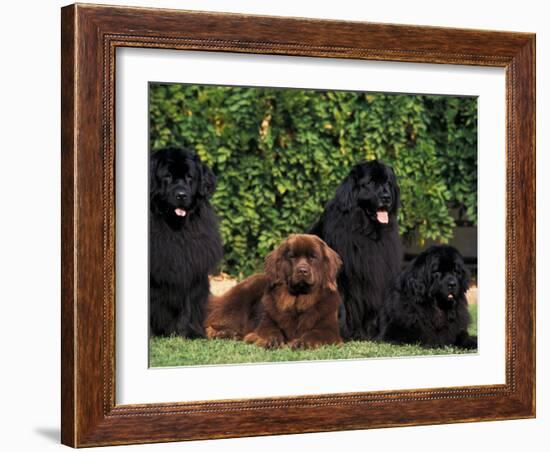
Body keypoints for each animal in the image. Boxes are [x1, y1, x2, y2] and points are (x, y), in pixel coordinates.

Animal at [150, 147, 223, 338]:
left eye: (190, 177)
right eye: (167, 176)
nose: (182, 195)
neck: (175, 229)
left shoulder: (190, 266)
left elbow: (188, 303)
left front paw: (188, 332)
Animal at [207, 235, 344, 348]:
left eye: (313, 257)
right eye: (292, 257)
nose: (302, 271)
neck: (298, 301)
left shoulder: (328, 328)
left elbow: (315, 334)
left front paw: (301, 343)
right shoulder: (267, 321)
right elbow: (271, 331)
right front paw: (271, 341)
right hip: (240, 299)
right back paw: (223, 333)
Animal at [310, 160, 406, 340]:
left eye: (387, 183)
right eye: (371, 183)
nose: (386, 197)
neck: (366, 232)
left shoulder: (375, 275)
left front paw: (372, 333)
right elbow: (341, 305)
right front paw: (341, 333)